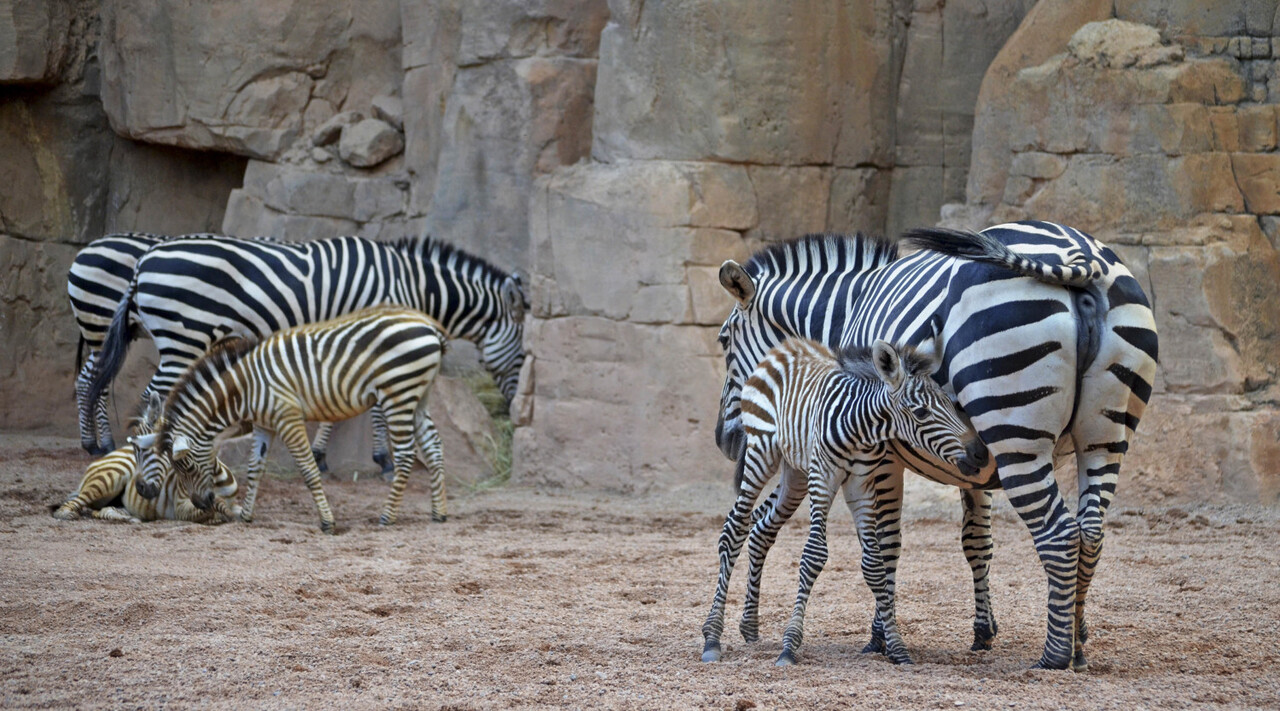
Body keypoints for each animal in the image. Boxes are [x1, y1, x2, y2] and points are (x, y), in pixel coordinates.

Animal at [53, 397, 239, 524]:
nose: (141, 488)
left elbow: (230, 509)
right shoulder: (180, 507)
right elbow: (209, 510)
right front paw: (218, 514)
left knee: (101, 510)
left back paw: (128, 517)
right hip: (109, 478)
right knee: (72, 505)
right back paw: (67, 514)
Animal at [81, 233, 527, 487]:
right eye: (523, 353)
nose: (515, 408)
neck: (409, 284)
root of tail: (144, 261)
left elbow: (338, 401)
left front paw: (323, 456)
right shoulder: (376, 336)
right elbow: (372, 409)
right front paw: (382, 460)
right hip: (183, 334)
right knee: (151, 398)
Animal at [131, 307, 447, 534]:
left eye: (184, 465)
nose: (202, 503)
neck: (244, 389)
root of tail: (431, 326)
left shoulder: (288, 417)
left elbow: (308, 470)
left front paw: (327, 522)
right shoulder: (264, 424)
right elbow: (254, 468)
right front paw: (246, 516)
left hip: (399, 394)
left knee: (406, 455)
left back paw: (387, 516)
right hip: (419, 395)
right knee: (433, 447)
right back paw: (439, 513)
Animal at [701, 337, 988, 667]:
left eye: (952, 405)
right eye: (922, 413)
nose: (981, 453)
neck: (859, 428)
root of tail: (785, 346)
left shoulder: (861, 485)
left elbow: (874, 564)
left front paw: (897, 647)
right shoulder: (823, 476)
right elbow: (814, 554)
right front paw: (789, 646)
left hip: (795, 473)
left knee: (761, 529)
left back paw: (749, 626)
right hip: (762, 452)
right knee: (734, 529)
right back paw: (712, 637)